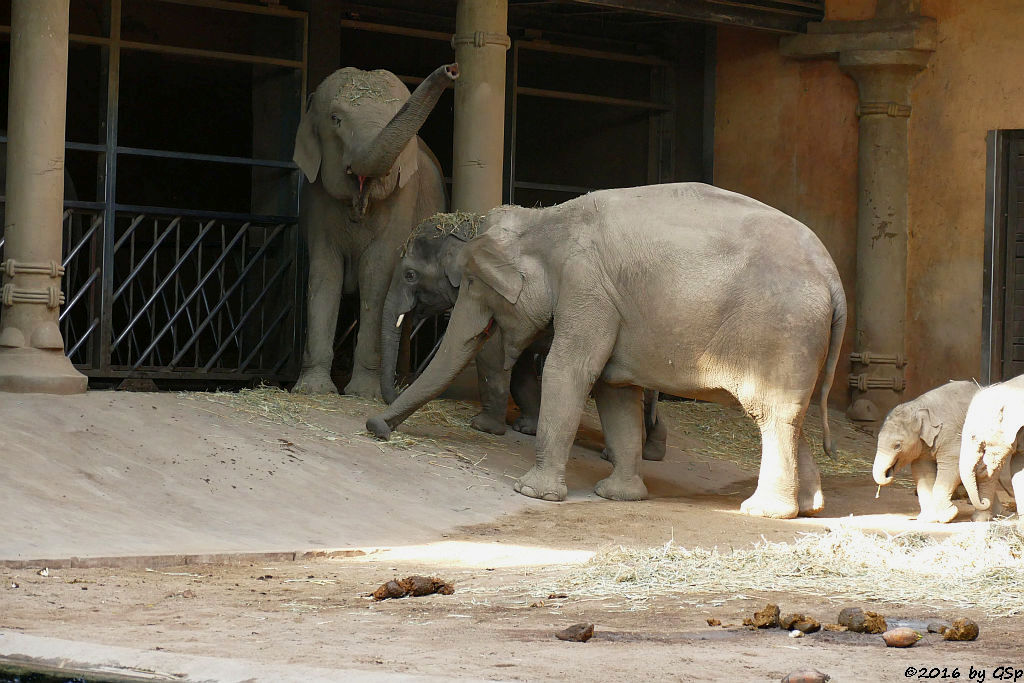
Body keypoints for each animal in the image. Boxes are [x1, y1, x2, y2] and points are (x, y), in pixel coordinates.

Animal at [292, 65, 460, 395]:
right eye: (335, 119)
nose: (452, 69)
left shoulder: (404, 197)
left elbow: (376, 273)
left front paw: (363, 394)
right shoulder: (317, 197)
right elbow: (324, 271)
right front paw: (313, 390)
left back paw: (401, 382)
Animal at [380, 210, 667, 462]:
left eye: (410, 275)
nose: (397, 390)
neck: (467, 225)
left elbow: (491, 357)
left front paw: (483, 427)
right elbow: (520, 367)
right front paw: (527, 428)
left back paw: (614, 454)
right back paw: (652, 453)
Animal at [872, 382, 983, 520]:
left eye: (897, 446)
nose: (888, 473)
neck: (920, 407)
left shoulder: (951, 436)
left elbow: (952, 467)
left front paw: (948, 516)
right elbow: (922, 470)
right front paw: (928, 519)